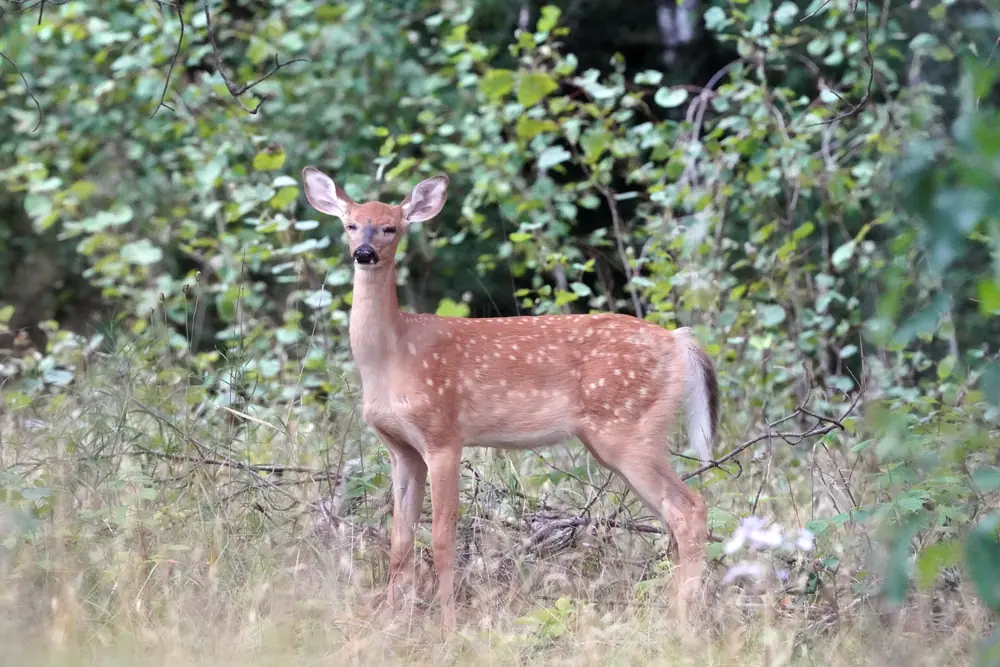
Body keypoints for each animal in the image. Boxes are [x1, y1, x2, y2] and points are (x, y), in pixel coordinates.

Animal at [300, 166, 720, 630]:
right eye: (351, 224)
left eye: (391, 226)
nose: (365, 253)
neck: (392, 359)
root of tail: (680, 341)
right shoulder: (401, 449)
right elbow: (399, 541)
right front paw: (390, 621)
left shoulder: (443, 434)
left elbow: (443, 539)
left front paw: (448, 625)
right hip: (619, 436)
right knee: (674, 516)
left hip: (629, 428)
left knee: (689, 509)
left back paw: (683, 619)